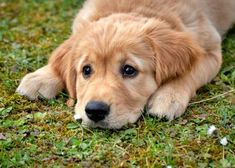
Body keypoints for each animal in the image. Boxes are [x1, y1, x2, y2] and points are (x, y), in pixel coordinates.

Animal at [17, 0, 235, 129]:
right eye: (86, 70)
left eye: (129, 70)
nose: (95, 111)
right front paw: (42, 77)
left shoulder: (210, 50)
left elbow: (189, 72)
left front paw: (168, 96)